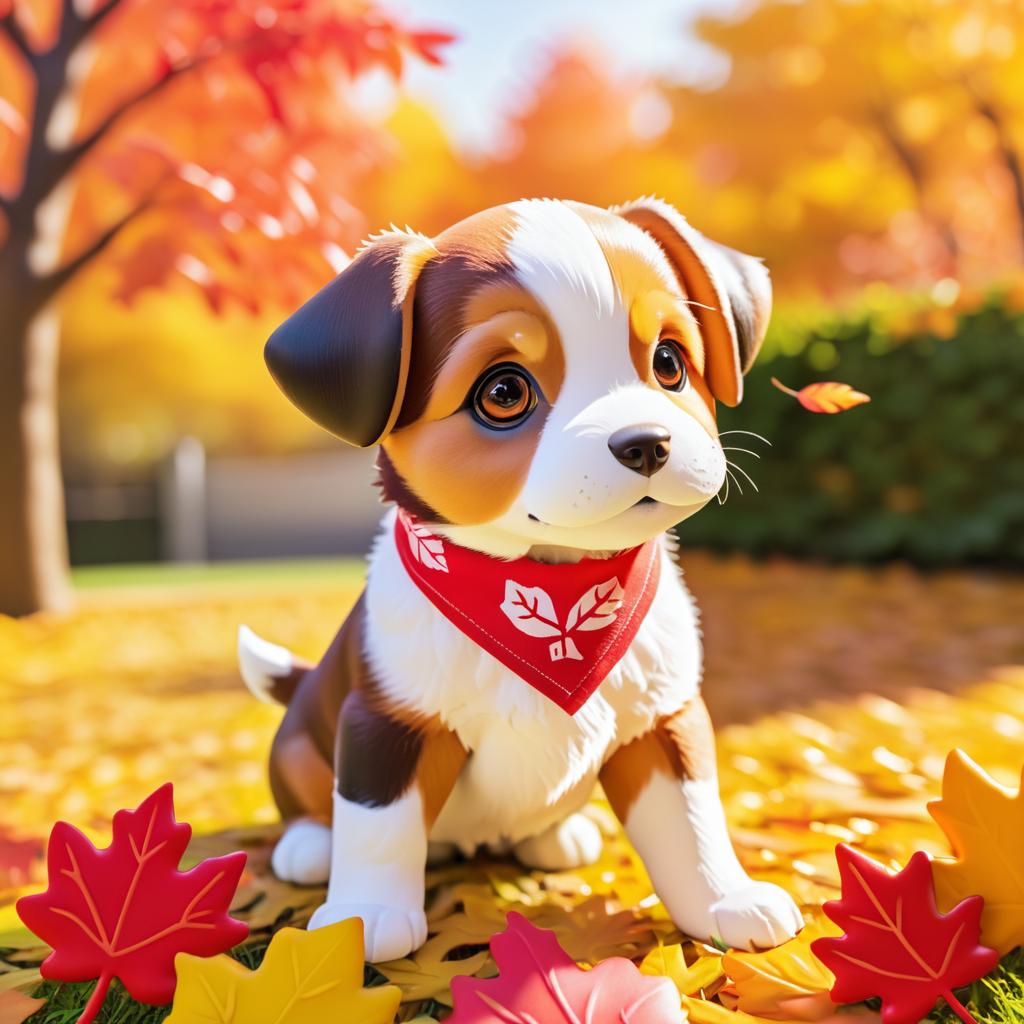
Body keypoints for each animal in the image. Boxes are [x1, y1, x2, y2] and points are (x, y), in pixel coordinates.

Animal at [237, 197, 798, 958]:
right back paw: (308, 847)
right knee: (309, 801)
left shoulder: (664, 723)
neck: (548, 578)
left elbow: (691, 822)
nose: (648, 443)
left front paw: (725, 900)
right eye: (504, 392)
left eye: (669, 361)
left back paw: (557, 836)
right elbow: (378, 826)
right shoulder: (385, 724)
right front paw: (365, 917)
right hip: (299, 741)